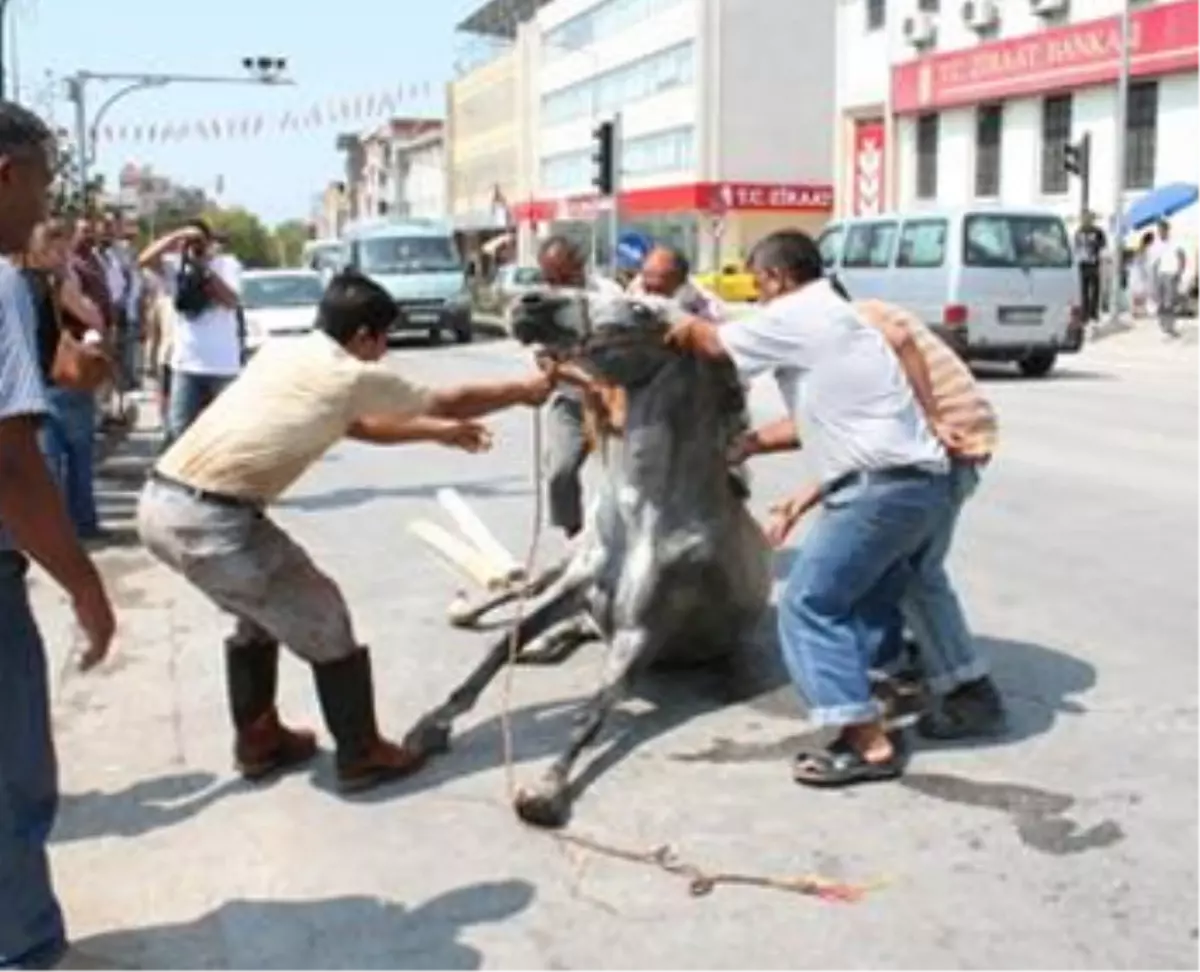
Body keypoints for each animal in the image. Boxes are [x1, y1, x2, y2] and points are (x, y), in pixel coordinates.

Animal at [398, 289, 768, 825]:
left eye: (640, 309)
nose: (528, 302)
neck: (645, 516)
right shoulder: (574, 586)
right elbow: (500, 646)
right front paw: (429, 726)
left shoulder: (641, 630)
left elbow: (590, 712)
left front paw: (545, 791)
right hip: (558, 569)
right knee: (521, 589)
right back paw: (488, 621)